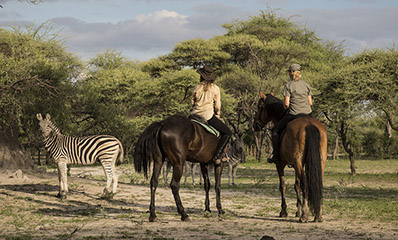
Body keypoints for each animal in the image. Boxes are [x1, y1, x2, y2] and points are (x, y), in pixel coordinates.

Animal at [255, 91, 326, 222]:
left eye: (259, 106)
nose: (255, 125)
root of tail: (309, 125)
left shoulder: (280, 164)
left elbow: (283, 186)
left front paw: (284, 211)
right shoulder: (295, 165)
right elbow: (296, 185)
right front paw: (298, 211)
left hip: (298, 162)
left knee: (305, 186)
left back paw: (304, 216)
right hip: (320, 162)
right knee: (317, 184)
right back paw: (318, 215)